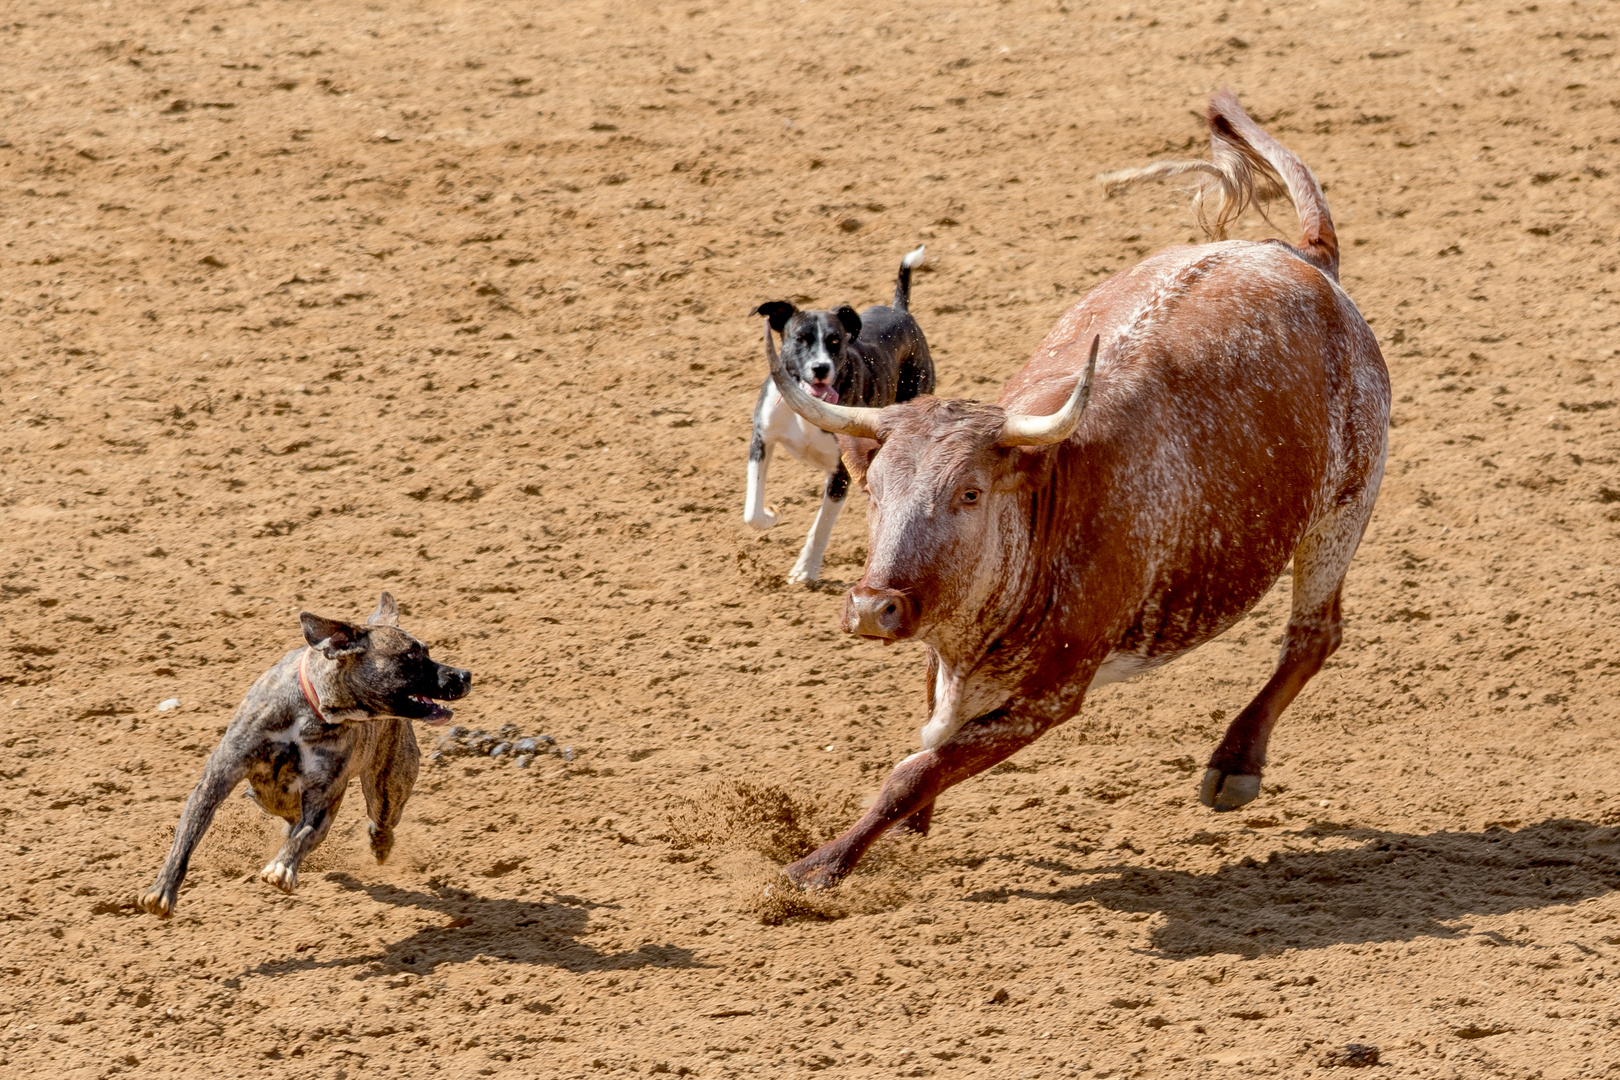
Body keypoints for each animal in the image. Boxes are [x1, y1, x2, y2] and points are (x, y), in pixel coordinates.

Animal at [138, 595, 469, 919]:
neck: (313, 711)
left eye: (426, 651)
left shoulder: (323, 801)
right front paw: (162, 891)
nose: (465, 674)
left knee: (381, 821)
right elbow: (185, 840)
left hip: (389, 789)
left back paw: (379, 844)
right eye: (411, 656)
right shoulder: (217, 781)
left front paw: (282, 869)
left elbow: (304, 836)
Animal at [741, 247, 933, 582]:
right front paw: (771, 514)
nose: (820, 368)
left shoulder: (841, 471)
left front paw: (805, 570)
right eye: (800, 339)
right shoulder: (762, 437)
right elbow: (752, 509)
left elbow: (822, 524)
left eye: (834, 340)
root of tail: (901, 311)